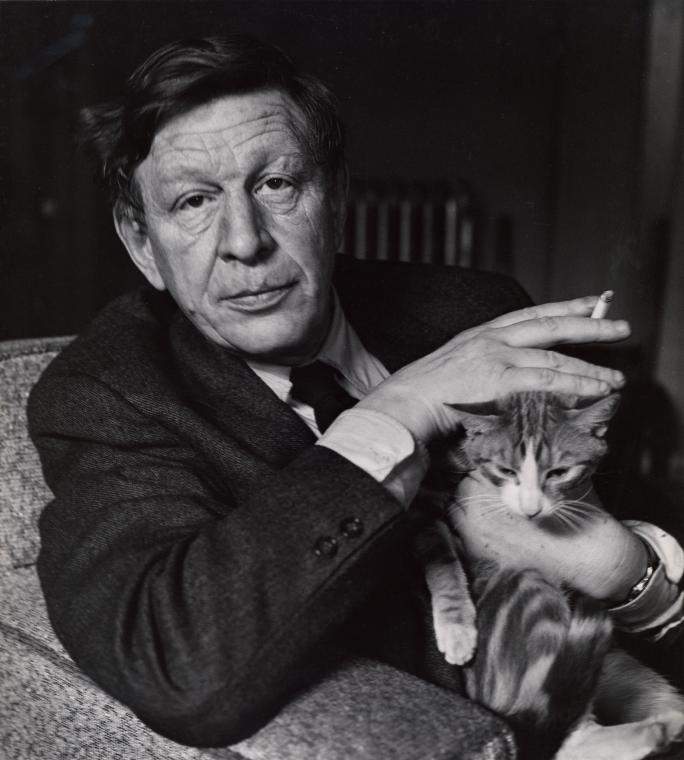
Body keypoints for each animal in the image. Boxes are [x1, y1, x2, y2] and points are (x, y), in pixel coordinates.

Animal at [416, 391, 684, 760]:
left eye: (559, 472)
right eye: (506, 470)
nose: (531, 509)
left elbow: (630, 524)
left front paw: (671, 552)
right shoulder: (427, 502)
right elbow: (441, 558)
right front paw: (457, 631)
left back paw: (665, 726)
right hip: (530, 589)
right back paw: (662, 730)